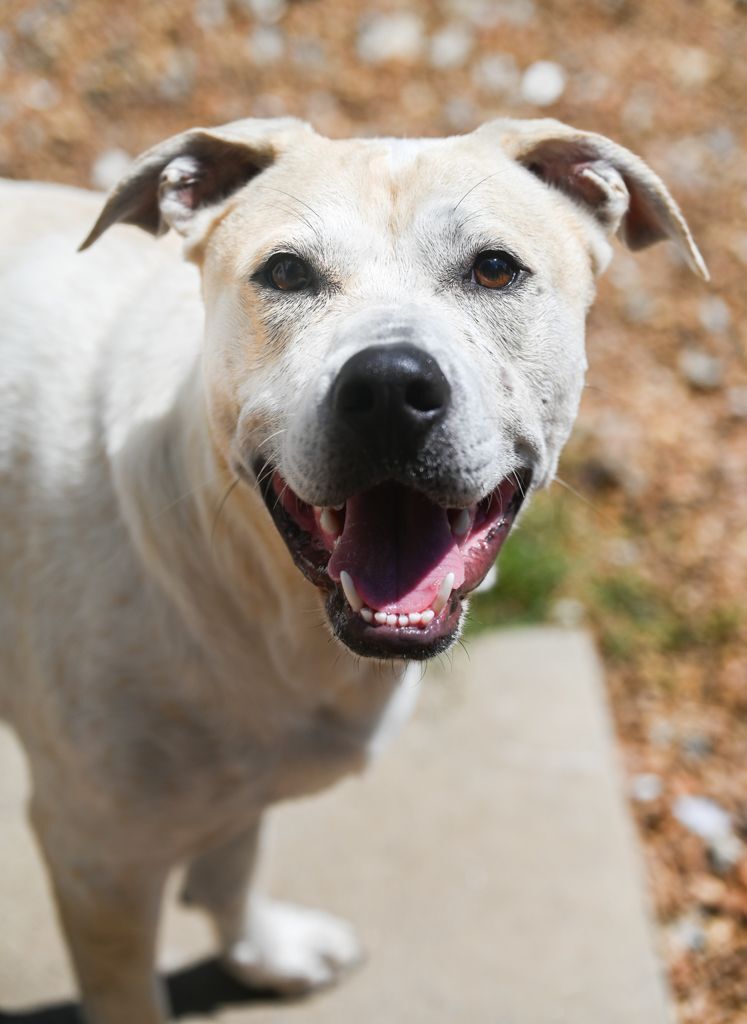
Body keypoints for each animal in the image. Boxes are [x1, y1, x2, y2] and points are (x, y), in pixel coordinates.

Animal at [0, 116, 704, 1019]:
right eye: (285, 272)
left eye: (494, 268)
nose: (389, 388)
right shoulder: (97, 860)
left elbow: (233, 864)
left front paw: (262, 954)